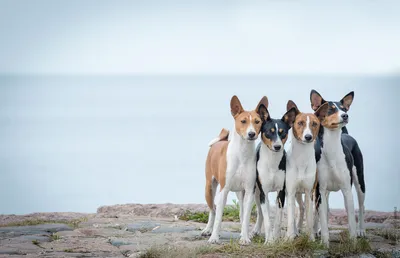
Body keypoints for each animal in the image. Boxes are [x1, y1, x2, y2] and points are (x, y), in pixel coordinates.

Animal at [200, 95, 268, 245]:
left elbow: (246, 217)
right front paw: (214, 237)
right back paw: (208, 230)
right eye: (243, 121)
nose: (251, 134)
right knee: (212, 210)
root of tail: (221, 141)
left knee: (242, 213)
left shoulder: (249, 190)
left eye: (257, 121)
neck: (242, 154)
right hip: (209, 188)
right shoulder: (224, 190)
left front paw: (245, 238)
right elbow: (219, 217)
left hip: (245, 193)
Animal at [248, 104, 298, 243]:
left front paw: (275, 237)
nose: (277, 147)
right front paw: (269, 241)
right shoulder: (263, 192)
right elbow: (267, 219)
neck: (272, 162)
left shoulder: (281, 191)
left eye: (283, 132)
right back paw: (255, 231)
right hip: (256, 193)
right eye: (269, 132)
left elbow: (278, 219)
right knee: (260, 213)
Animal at [284, 100, 328, 240]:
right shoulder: (291, 191)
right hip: (294, 193)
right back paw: (295, 231)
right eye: (300, 123)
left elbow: (309, 218)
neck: (302, 158)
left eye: (314, 124)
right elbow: (290, 218)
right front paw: (289, 237)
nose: (308, 137)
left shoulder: (309, 192)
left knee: (309, 211)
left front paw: (311, 239)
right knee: (299, 210)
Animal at [310, 90, 366, 246]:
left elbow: (351, 219)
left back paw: (361, 231)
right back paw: (316, 231)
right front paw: (324, 243)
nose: (345, 115)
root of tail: (346, 135)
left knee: (361, 206)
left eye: (344, 108)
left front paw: (353, 243)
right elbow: (323, 217)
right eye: (330, 109)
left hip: (360, 181)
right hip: (320, 192)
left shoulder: (347, 189)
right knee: (322, 210)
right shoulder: (321, 190)